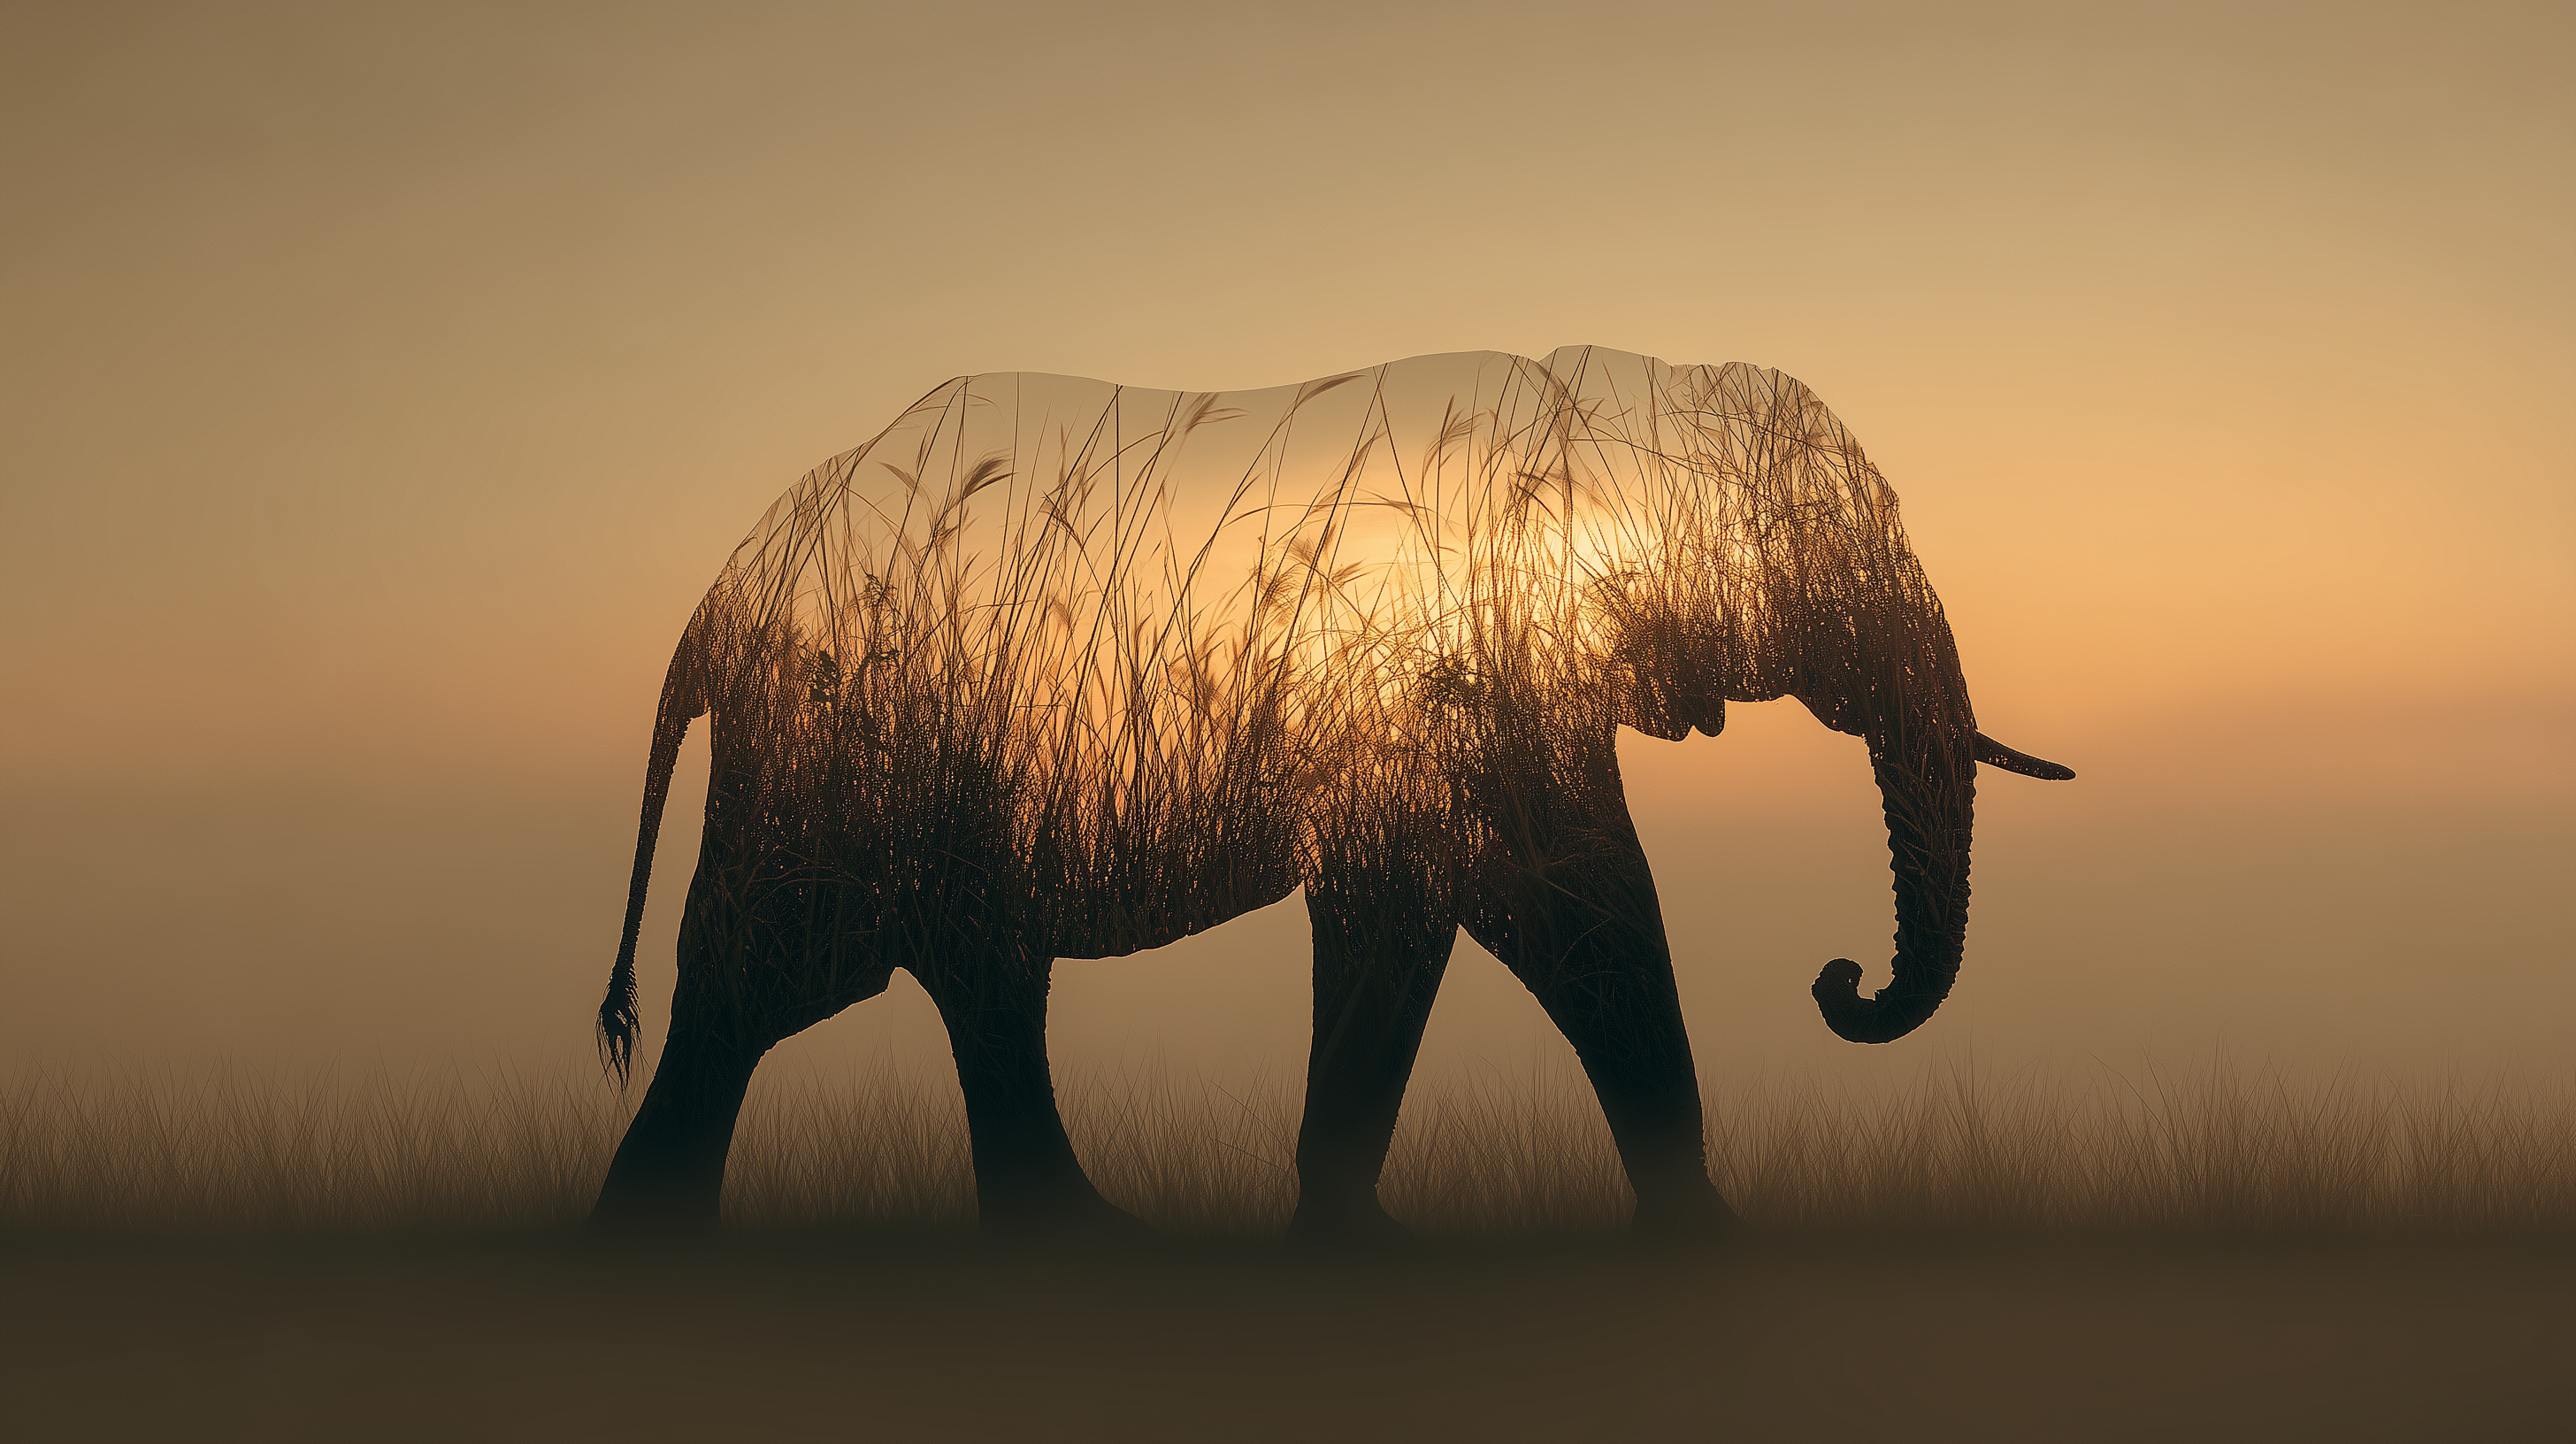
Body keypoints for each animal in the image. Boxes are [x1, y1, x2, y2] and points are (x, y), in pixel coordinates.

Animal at [587, 345, 2073, 1239]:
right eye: (1848, 549)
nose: (1838, 981)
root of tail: (717, 601)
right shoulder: (1429, 674)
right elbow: (1557, 917)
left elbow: (1483, 910)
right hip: (842, 752)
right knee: (773, 980)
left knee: (951, 975)